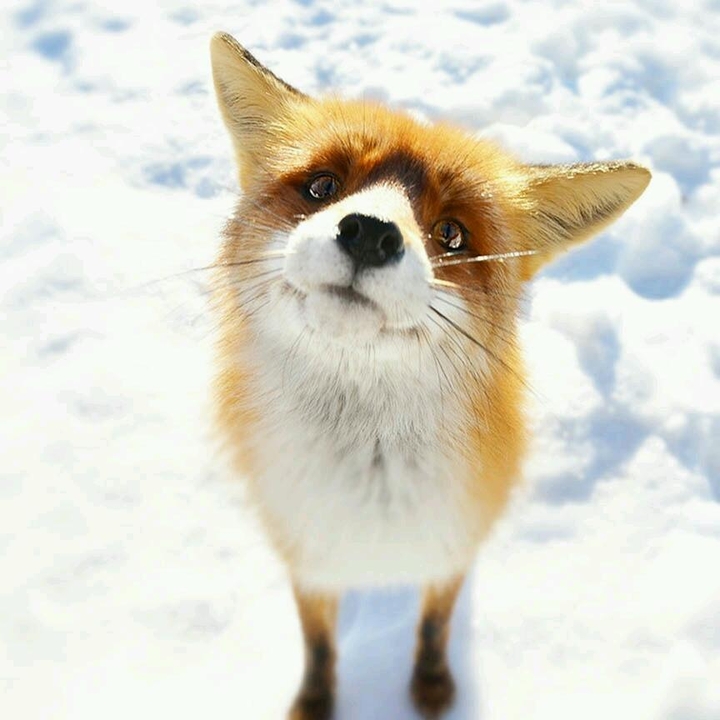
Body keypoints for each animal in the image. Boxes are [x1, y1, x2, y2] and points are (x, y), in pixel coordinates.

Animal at [209, 32, 650, 720]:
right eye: (323, 186)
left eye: (452, 233)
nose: (368, 234)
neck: (370, 487)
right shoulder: (306, 553)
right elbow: (319, 644)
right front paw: (316, 702)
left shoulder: (452, 546)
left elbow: (435, 625)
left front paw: (433, 687)